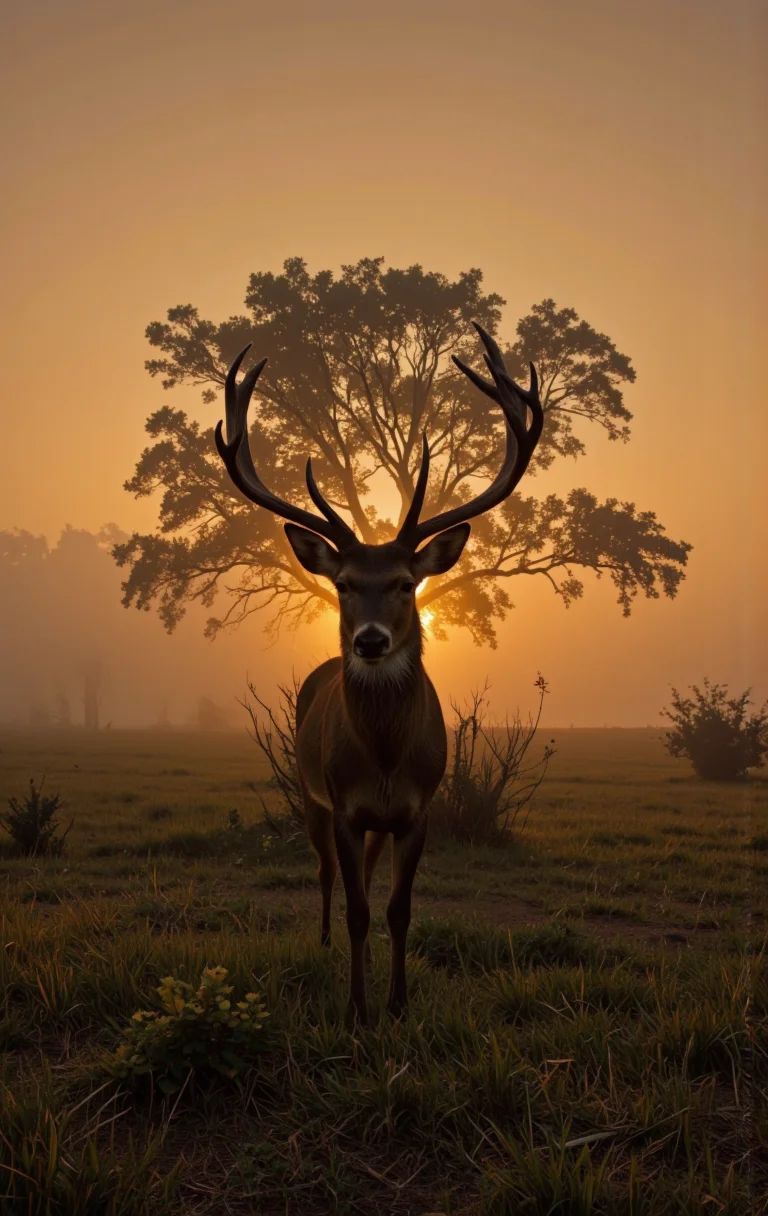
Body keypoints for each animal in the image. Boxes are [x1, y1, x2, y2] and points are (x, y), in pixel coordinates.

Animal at [215, 323, 543, 1025]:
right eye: (343, 584)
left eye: (402, 582)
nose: (370, 640)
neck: (389, 758)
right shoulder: (343, 804)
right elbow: (359, 911)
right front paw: (357, 1009)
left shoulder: (417, 812)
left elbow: (396, 910)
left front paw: (397, 1003)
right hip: (309, 793)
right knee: (326, 878)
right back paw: (321, 942)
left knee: (359, 878)